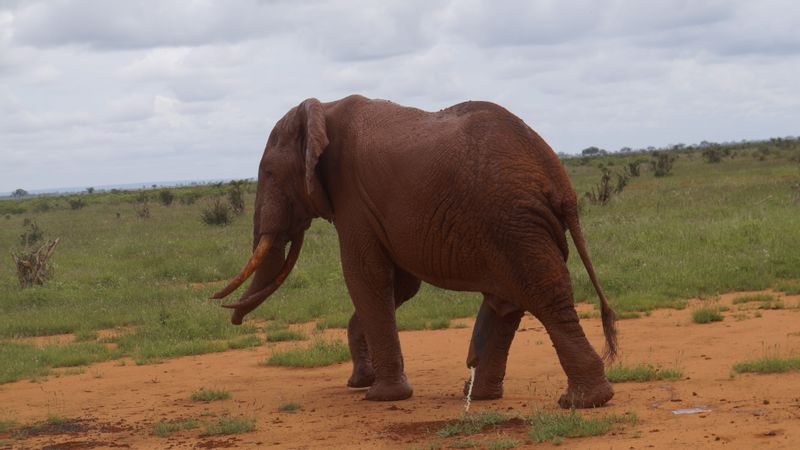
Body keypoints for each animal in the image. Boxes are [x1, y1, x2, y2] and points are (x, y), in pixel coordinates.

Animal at [212, 95, 620, 408]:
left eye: (268, 174)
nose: (229, 313)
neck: (321, 110)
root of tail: (559, 180)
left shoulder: (353, 199)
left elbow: (365, 277)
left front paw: (380, 396)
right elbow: (400, 285)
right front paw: (361, 382)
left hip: (514, 221)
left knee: (544, 298)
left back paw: (582, 402)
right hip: (519, 226)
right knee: (507, 302)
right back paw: (480, 396)